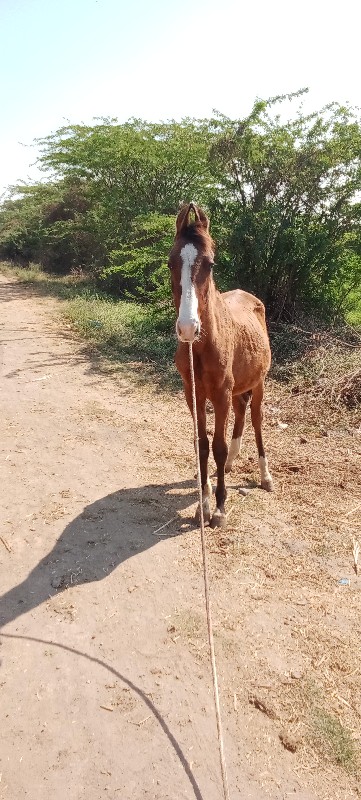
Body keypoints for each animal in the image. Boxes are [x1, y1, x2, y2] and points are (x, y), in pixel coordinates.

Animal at [169, 203, 272, 532]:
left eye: (211, 264)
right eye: (170, 263)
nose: (188, 328)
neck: (202, 347)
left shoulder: (221, 394)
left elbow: (219, 446)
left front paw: (220, 509)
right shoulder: (193, 393)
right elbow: (202, 445)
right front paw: (203, 503)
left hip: (258, 383)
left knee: (255, 419)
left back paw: (265, 476)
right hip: (237, 389)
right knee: (241, 414)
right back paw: (227, 467)